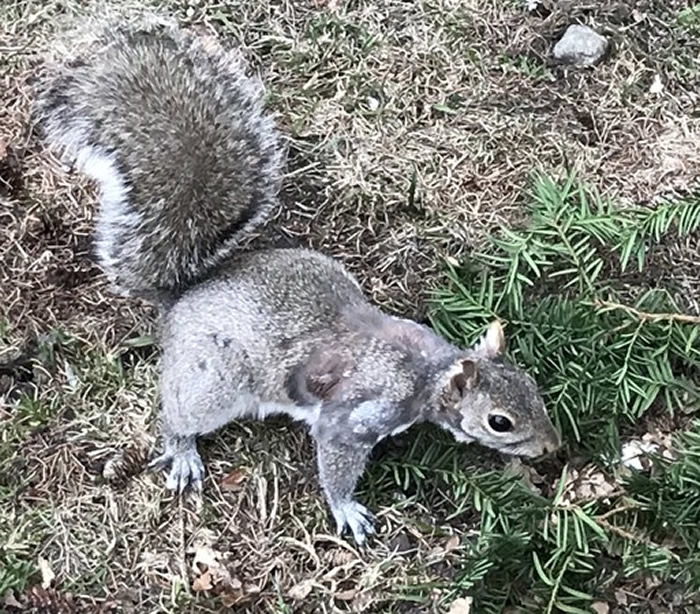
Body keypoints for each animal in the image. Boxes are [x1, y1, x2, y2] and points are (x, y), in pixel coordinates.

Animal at [32, 14, 560, 548]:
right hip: (215, 379)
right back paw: (182, 449)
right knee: (180, 413)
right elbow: (336, 460)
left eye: (535, 389)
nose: (551, 448)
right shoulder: (354, 413)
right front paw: (347, 509)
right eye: (499, 422)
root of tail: (182, 296)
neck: (427, 374)